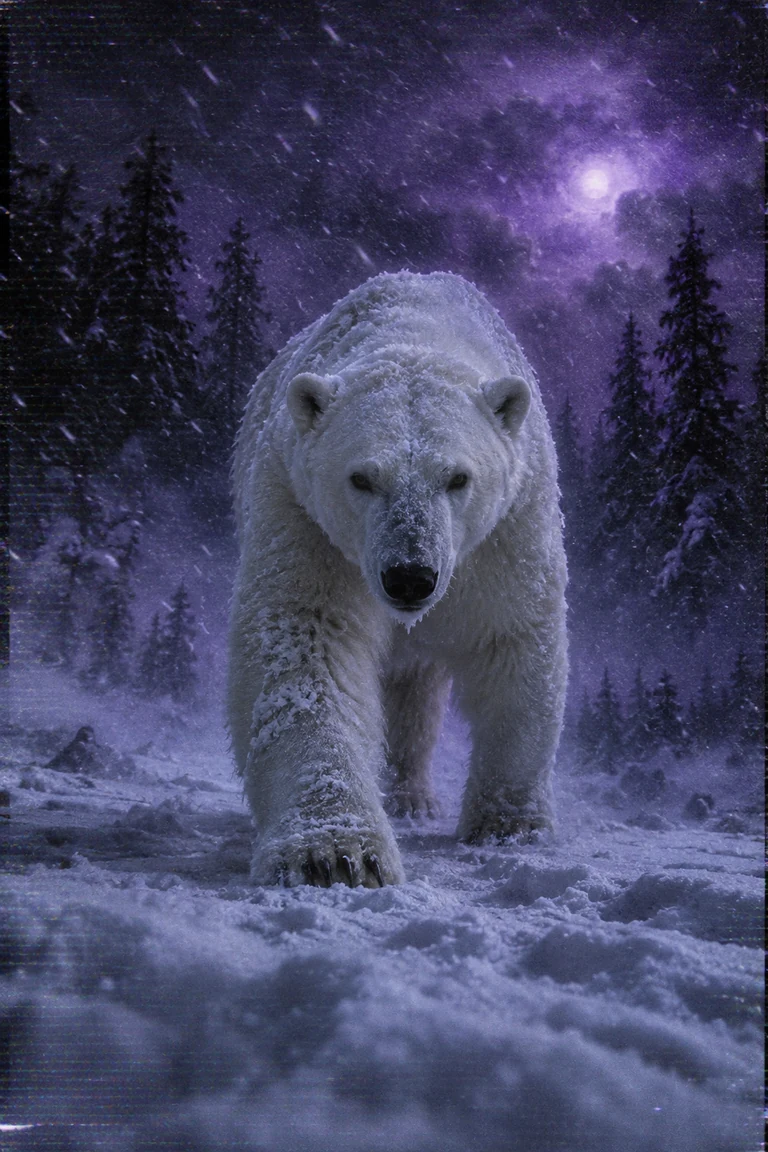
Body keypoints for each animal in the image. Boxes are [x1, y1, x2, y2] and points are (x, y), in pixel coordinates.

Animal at [228, 271, 568, 888]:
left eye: (458, 478)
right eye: (362, 478)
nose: (410, 577)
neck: (417, 325)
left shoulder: (508, 528)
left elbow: (512, 637)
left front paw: (510, 826)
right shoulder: (302, 513)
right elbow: (307, 641)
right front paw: (334, 856)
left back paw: (413, 798)